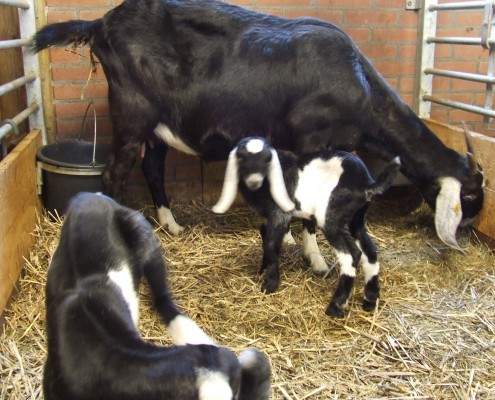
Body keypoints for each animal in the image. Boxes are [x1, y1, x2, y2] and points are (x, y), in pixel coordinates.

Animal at [34, 0, 484, 250]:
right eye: (471, 196)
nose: (469, 230)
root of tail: (100, 24)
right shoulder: (312, 138)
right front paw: (306, 246)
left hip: (159, 124)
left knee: (152, 166)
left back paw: (171, 225)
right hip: (132, 113)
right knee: (115, 174)